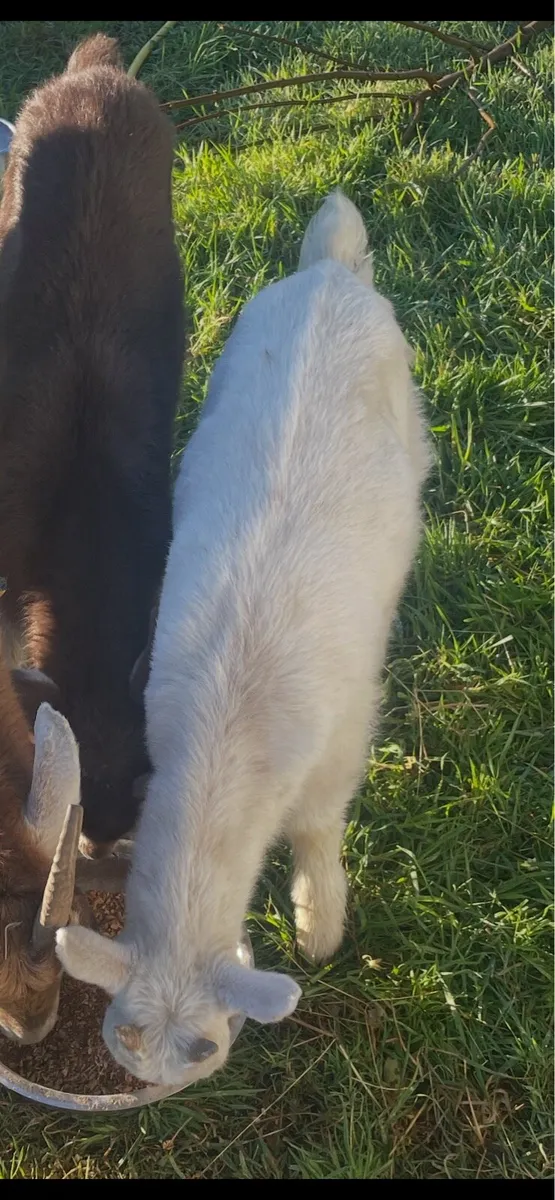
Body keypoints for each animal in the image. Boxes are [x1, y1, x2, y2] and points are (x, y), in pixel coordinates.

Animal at [57, 189, 431, 1086]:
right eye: (124, 1036)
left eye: (205, 1044)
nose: (162, 1088)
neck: (232, 732)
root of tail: (330, 272)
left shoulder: (340, 744)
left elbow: (319, 828)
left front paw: (320, 926)